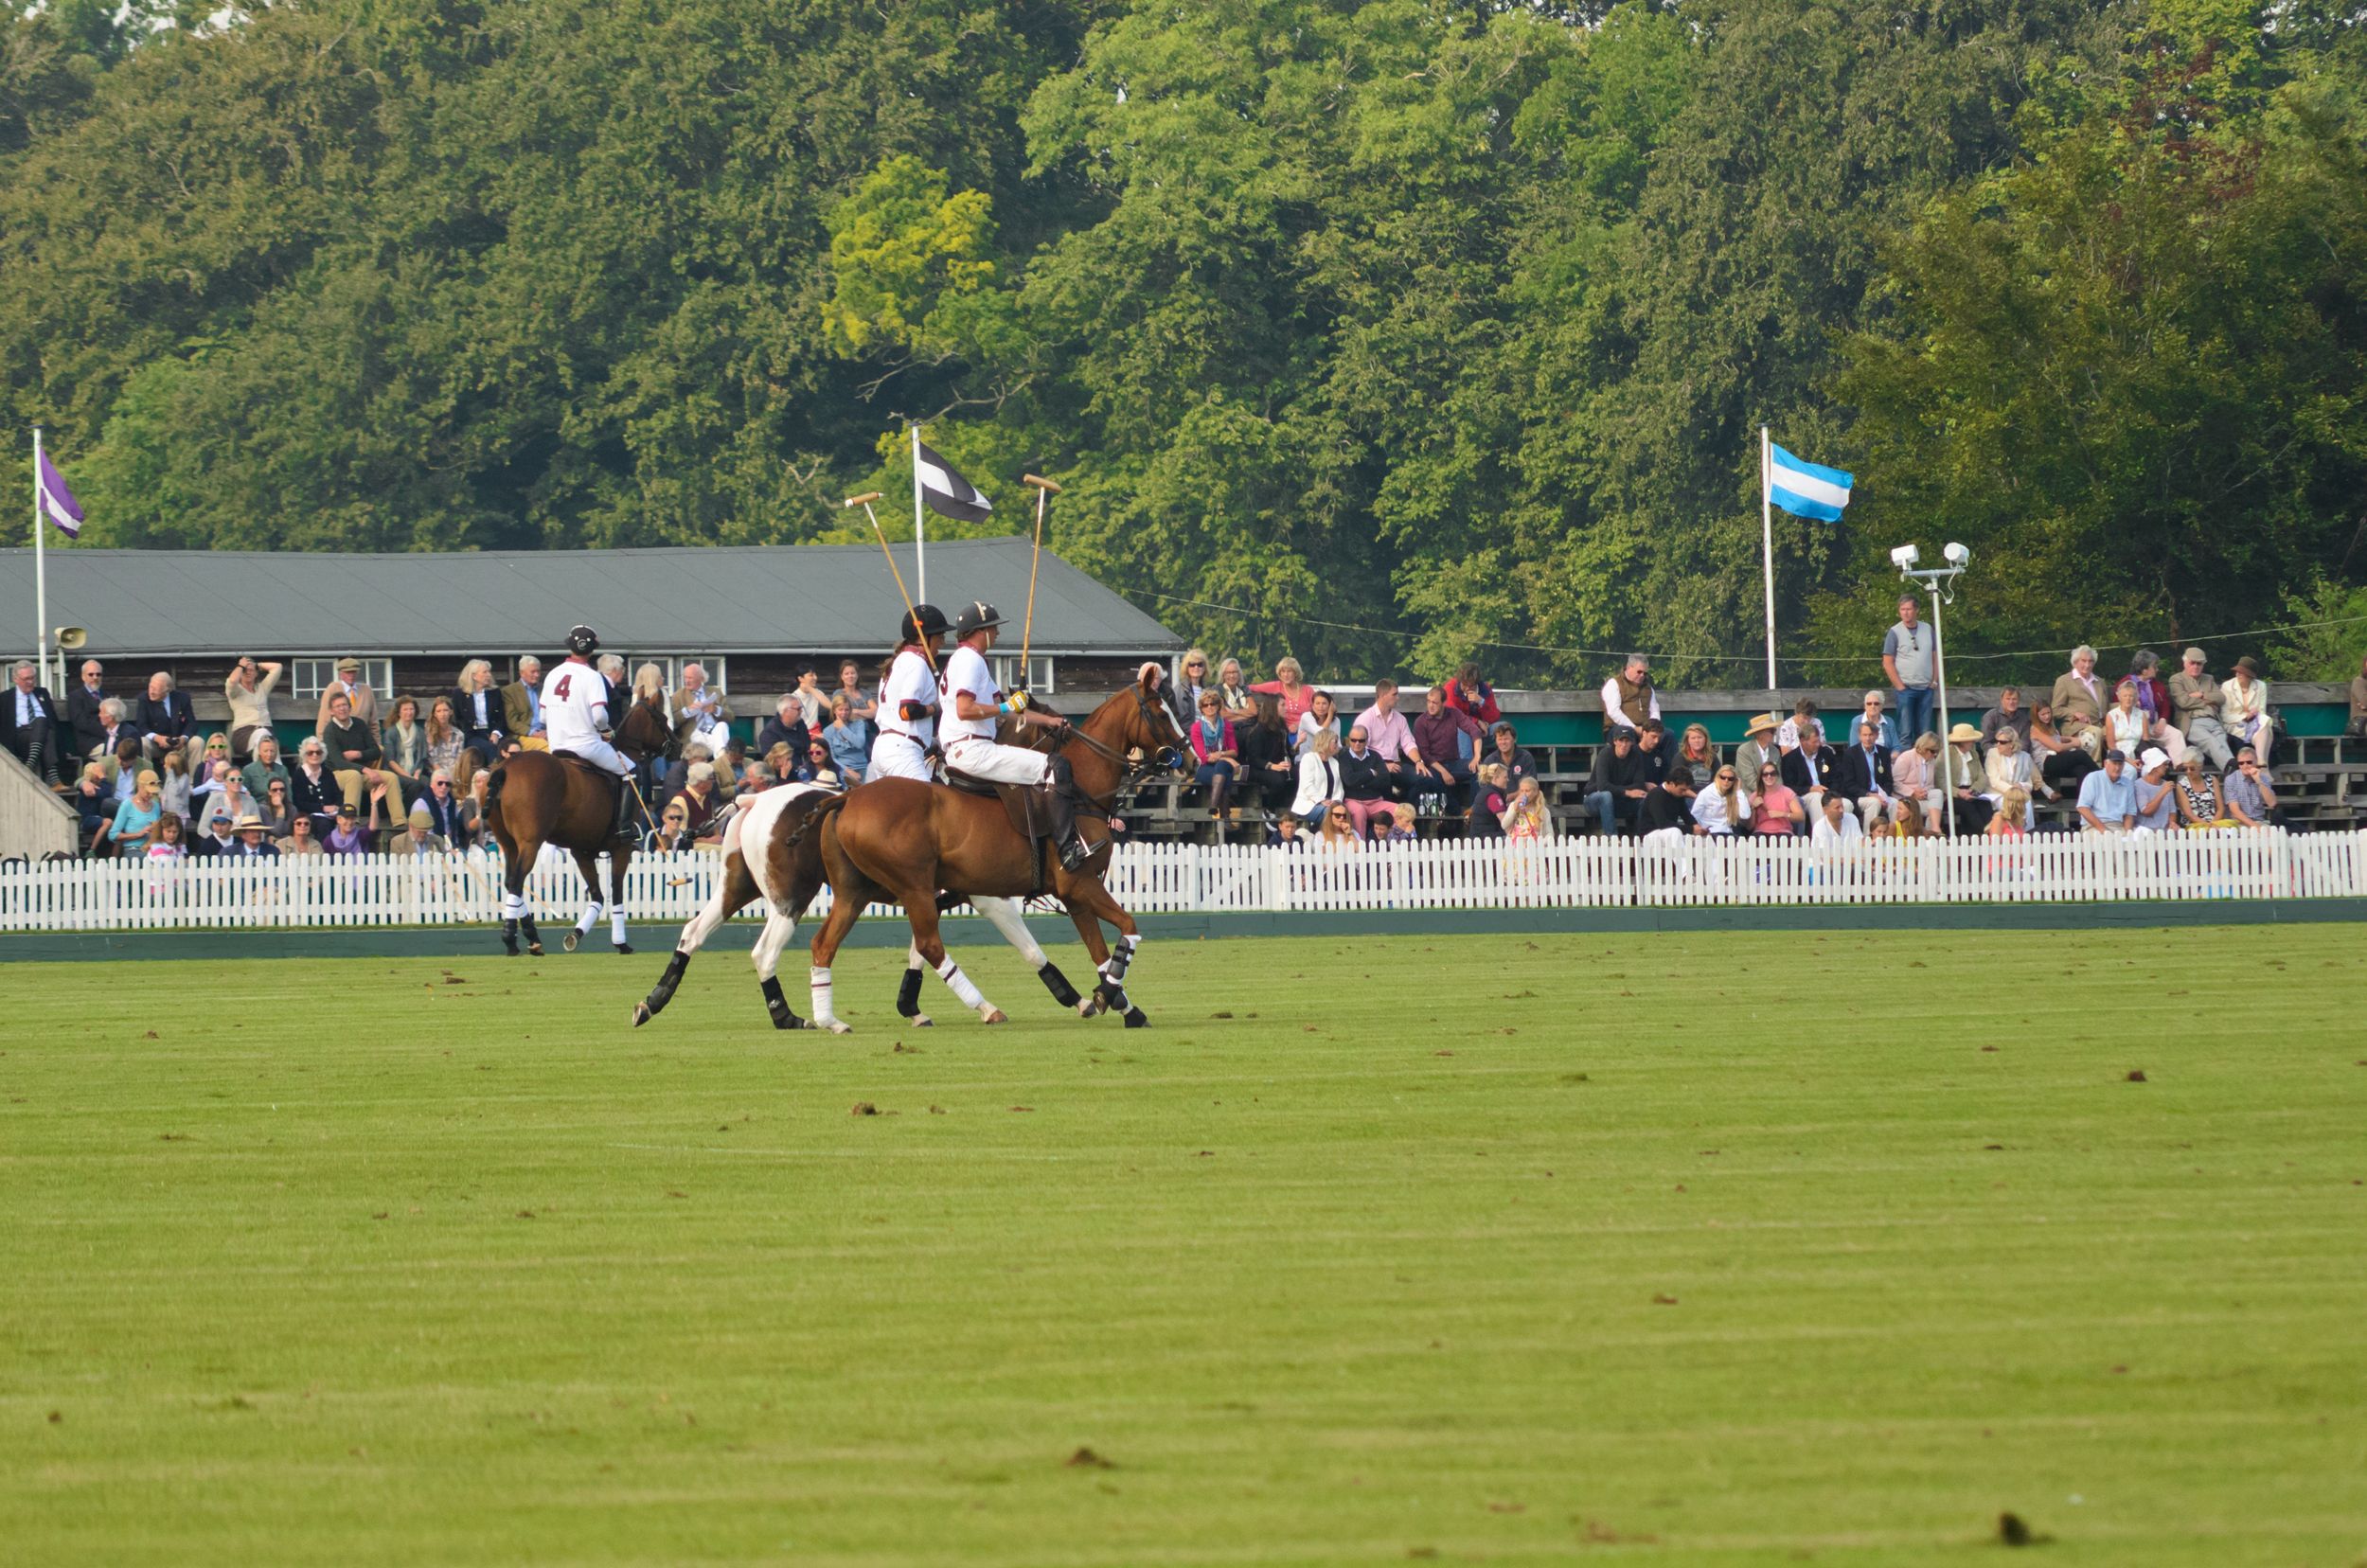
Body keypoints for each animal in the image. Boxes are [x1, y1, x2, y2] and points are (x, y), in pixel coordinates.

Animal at [478, 686, 672, 956]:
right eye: (663, 719)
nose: (677, 746)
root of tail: (504, 768)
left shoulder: (582, 851)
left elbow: (598, 895)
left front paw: (576, 934)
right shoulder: (622, 847)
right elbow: (616, 891)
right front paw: (621, 943)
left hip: (508, 843)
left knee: (509, 881)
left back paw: (531, 938)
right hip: (531, 841)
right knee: (517, 881)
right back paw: (511, 939)